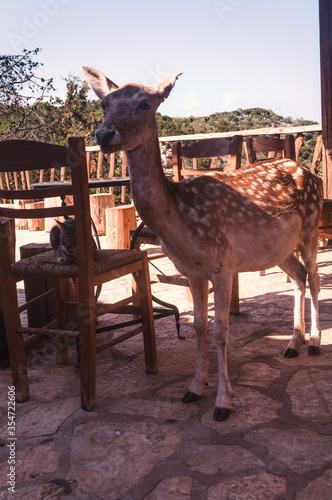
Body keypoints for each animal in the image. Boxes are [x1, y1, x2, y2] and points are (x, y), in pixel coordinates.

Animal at [81, 64, 322, 420]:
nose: (104, 135)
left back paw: (316, 343)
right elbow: (197, 327)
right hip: (278, 249)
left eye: (145, 103)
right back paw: (293, 344)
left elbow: (221, 331)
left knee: (316, 278)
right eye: (104, 103)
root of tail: (311, 173)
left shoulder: (223, 265)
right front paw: (194, 388)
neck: (182, 223)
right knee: (299, 277)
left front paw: (223, 402)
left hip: (311, 228)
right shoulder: (192, 271)